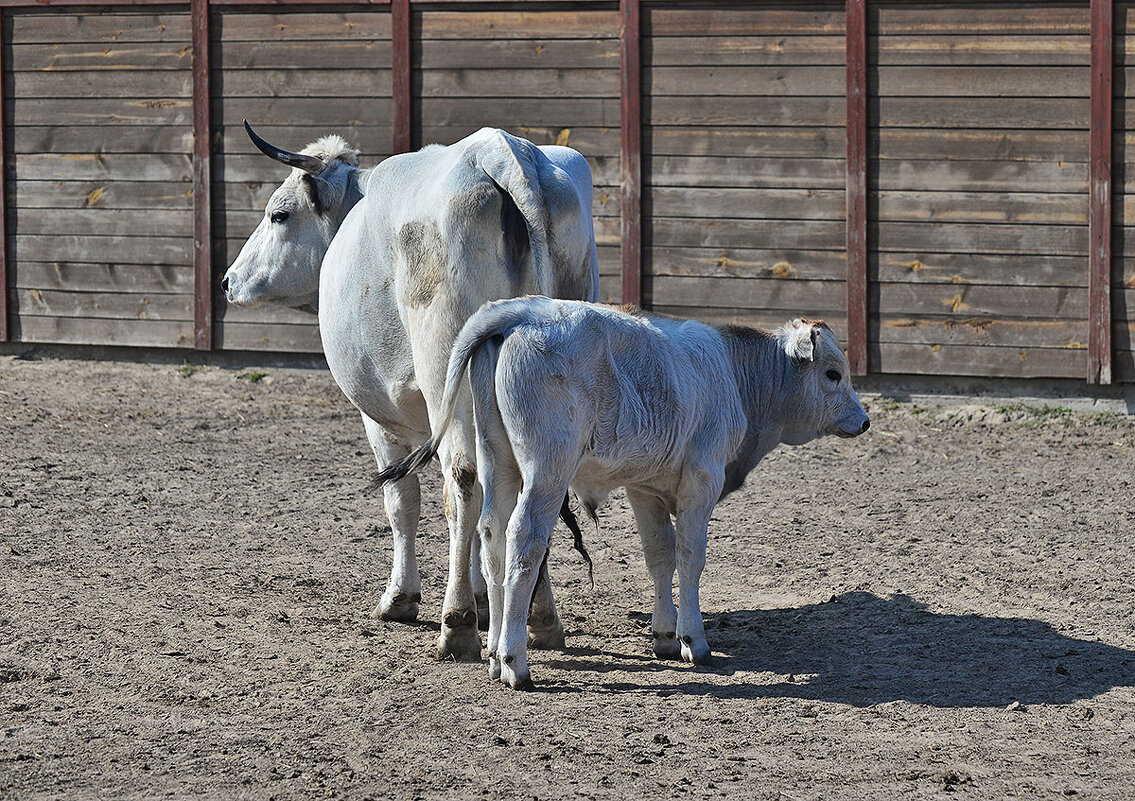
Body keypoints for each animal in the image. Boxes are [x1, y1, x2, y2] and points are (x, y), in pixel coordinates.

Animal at [216, 124, 599, 658]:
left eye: (280, 213)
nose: (227, 280)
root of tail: (499, 150)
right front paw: (486, 599)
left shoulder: (381, 417)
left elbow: (403, 502)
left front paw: (403, 597)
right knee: (528, 489)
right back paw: (539, 619)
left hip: (445, 377)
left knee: (462, 482)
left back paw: (456, 623)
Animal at [372, 297, 867, 685]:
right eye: (832, 374)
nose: (863, 421)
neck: (730, 373)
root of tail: (520, 312)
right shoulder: (701, 480)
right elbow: (690, 557)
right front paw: (694, 640)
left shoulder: (645, 489)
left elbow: (660, 557)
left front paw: (665, 635)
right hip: (547, 469)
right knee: (523, 538)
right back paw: (514, 662)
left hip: (498, 461)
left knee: (492, 534)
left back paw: (494, 654)